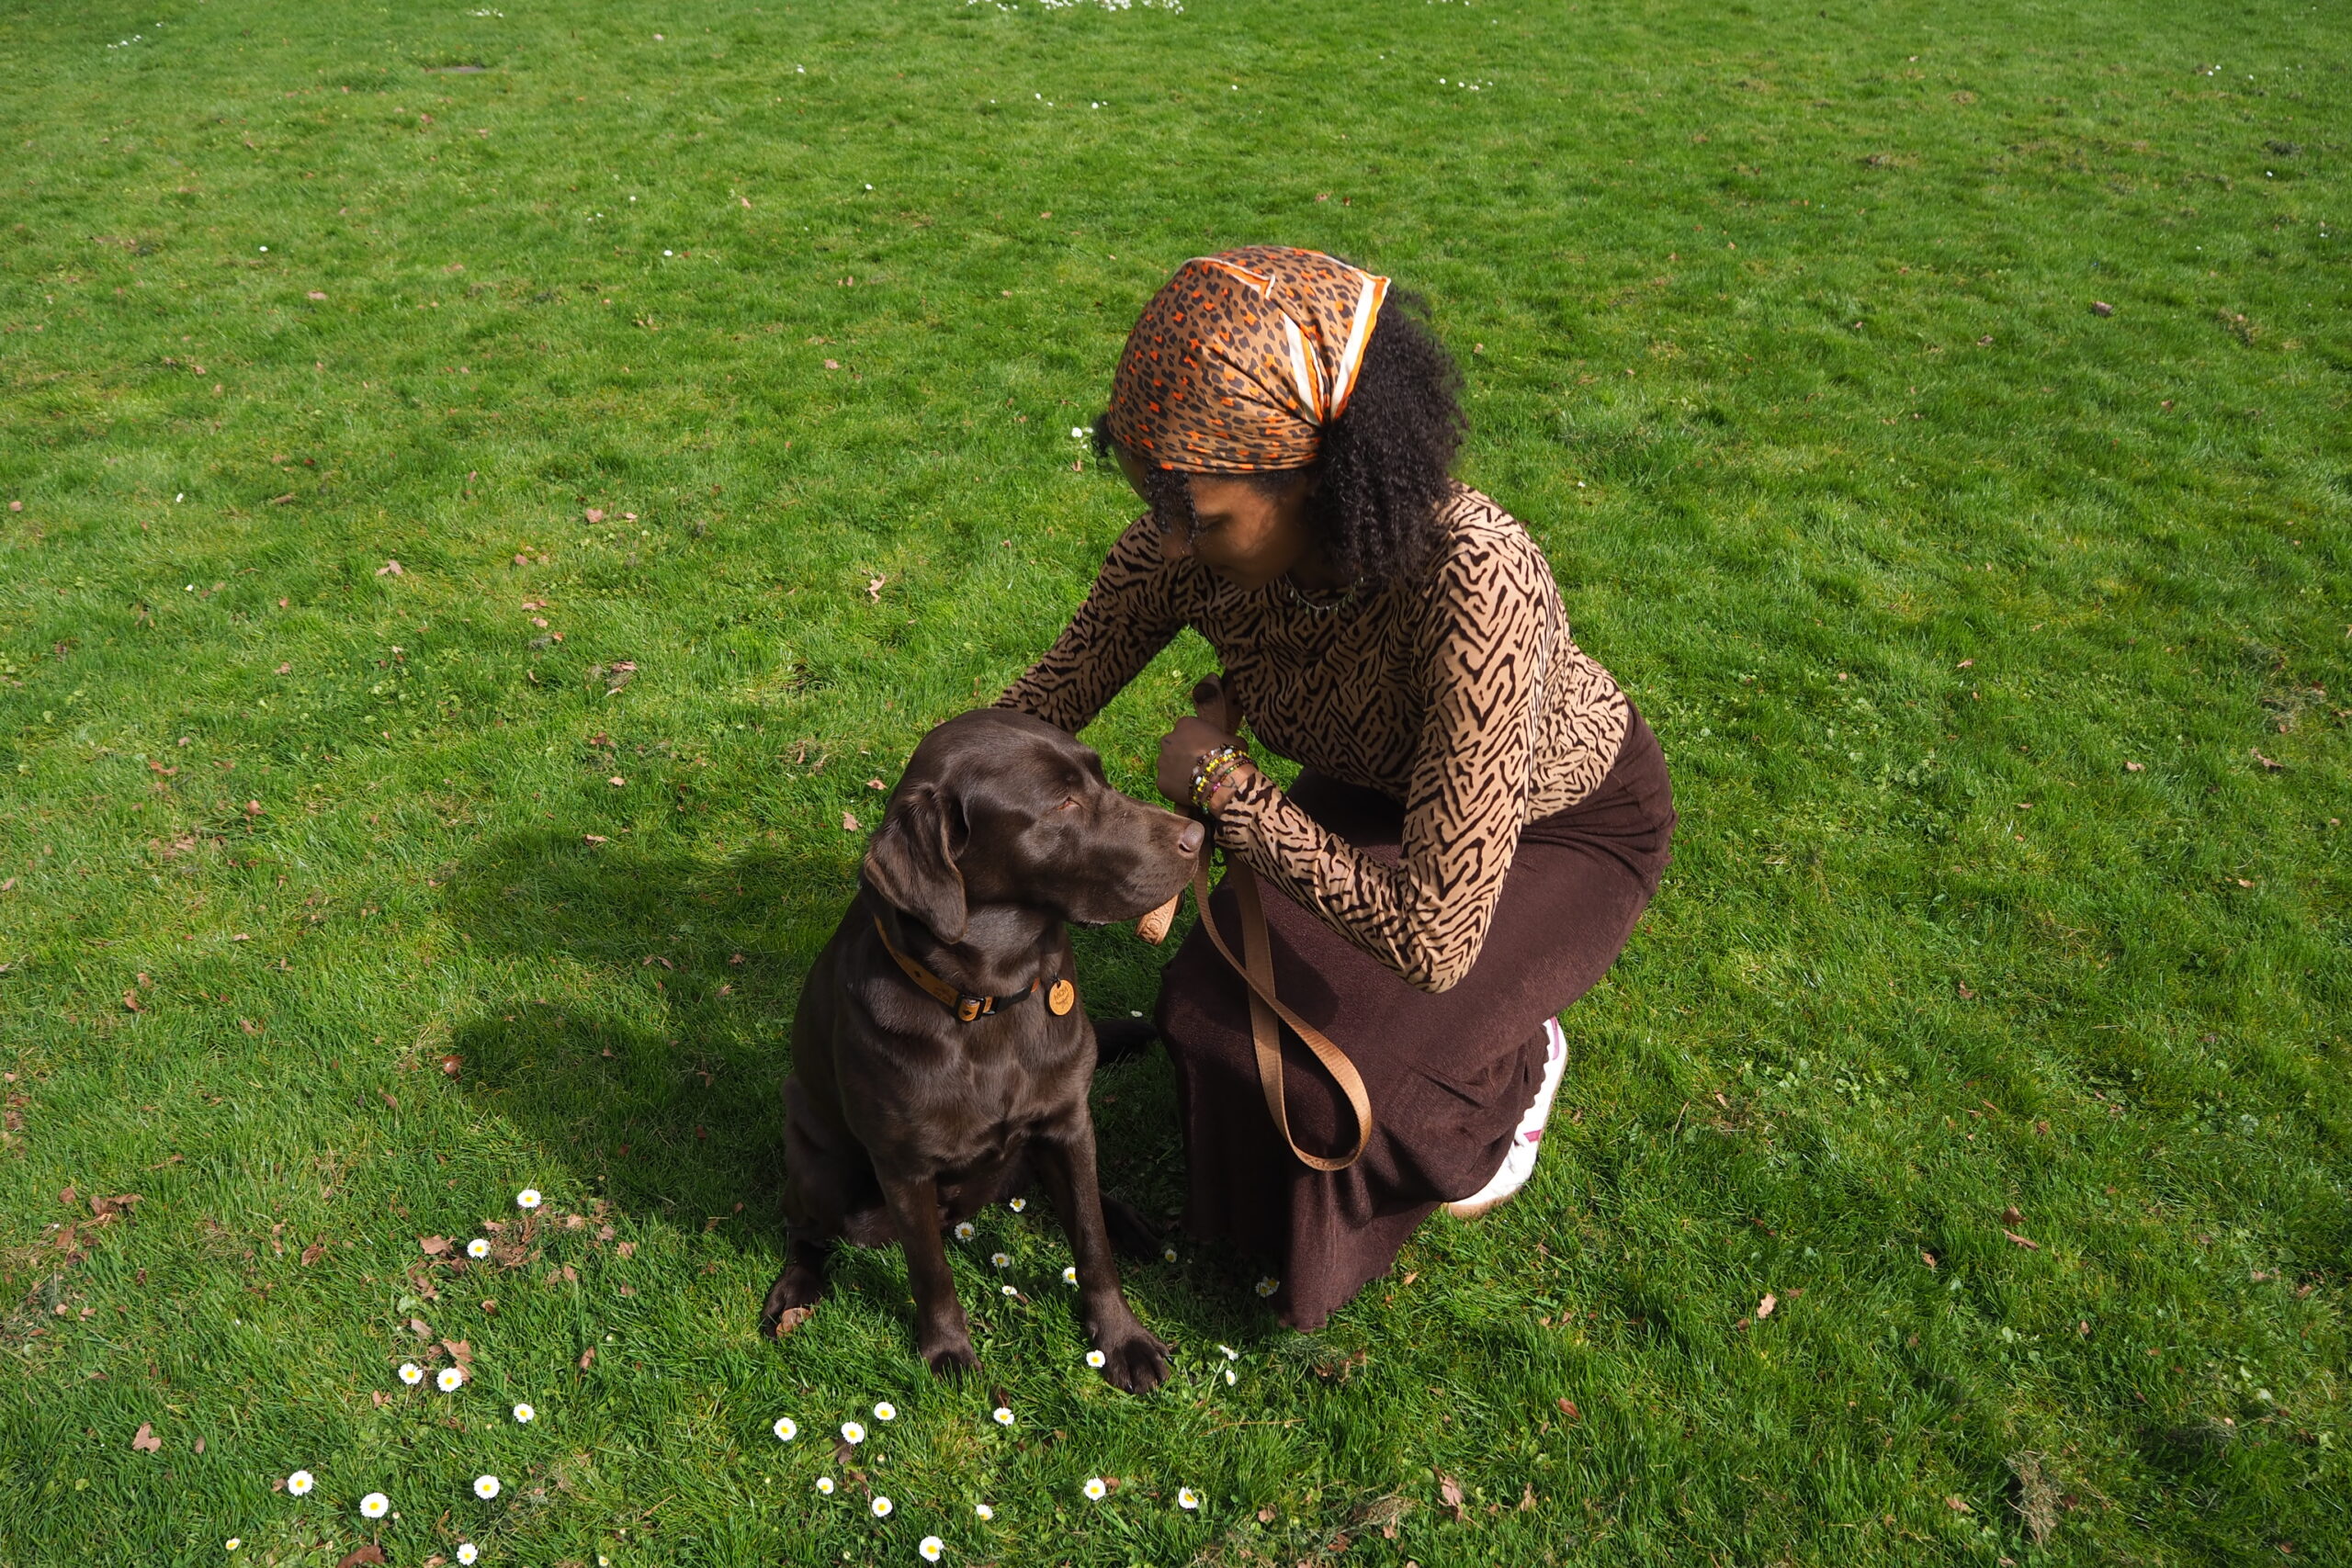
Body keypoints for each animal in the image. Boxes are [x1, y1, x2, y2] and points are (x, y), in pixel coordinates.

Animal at [760, 709, 1203, 1391]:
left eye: (1099, 779)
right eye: (1063, 803)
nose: (1199, 835)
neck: (991, 1000)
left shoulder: (1069, 1122)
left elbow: (1091, 1243)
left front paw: (1121, 1338)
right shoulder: (904, 1167)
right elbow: (930, 1272)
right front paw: (946, 1352)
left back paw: (1130, 1223)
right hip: (818, 1165)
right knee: (805, 1229)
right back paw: (793, 1291)